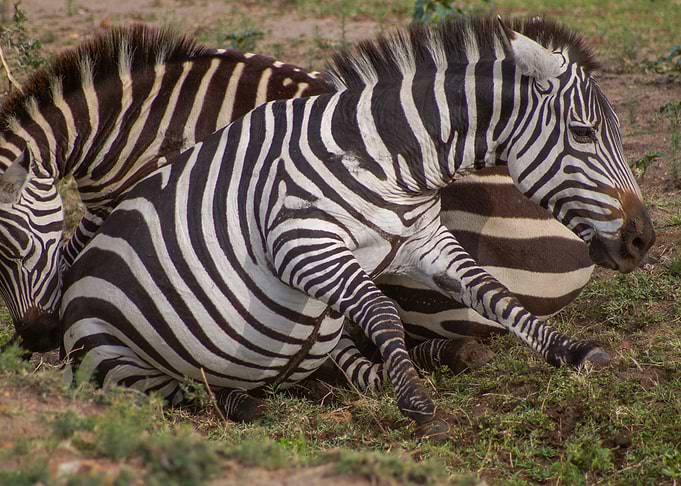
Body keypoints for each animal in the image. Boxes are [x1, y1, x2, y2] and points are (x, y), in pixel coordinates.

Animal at [44, 16, 653, 439]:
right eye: (582, 133)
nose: (642, 239)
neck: (385, 154)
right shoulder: (303, 245)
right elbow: (382, 314)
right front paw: (419, 406)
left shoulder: (426, 243)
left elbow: (493, 293)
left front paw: (570, 351)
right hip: (112, 356)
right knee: (175, 390)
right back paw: (245, 400)